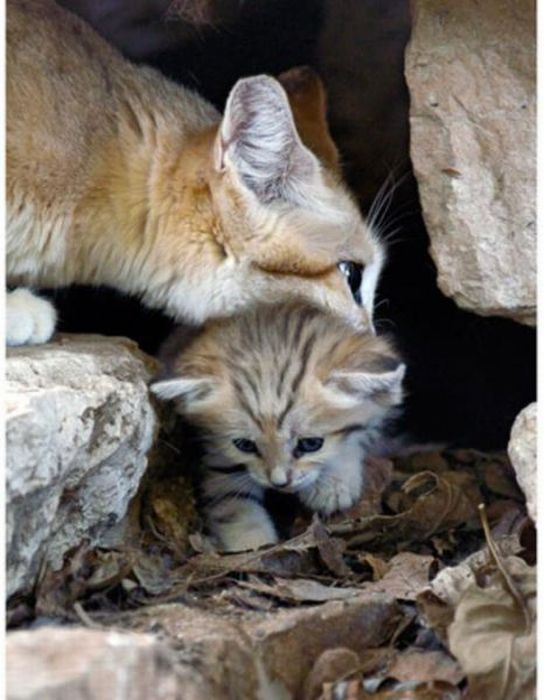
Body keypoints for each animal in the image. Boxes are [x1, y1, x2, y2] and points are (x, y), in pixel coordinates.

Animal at [151, 304, 406, 548]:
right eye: (244, 445)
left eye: (311, 444)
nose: (280, 482)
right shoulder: (219, 455)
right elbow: (230, 501)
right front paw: (252, 545)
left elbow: (362, 432)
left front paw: (333, 483)